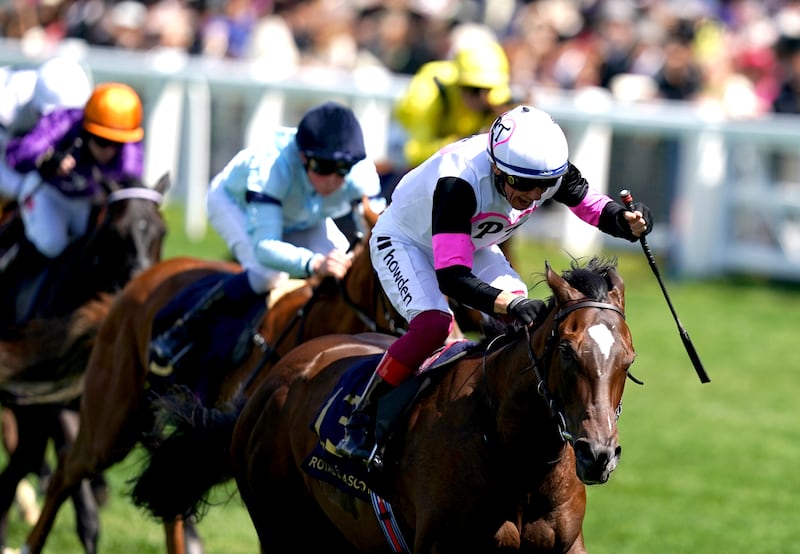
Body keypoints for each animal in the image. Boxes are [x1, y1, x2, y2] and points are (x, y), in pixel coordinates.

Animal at [138, 256, 636, 548]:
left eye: (628, 359)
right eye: (567, 351)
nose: (598, 455)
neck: (514, 455)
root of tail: (271, 383)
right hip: (282, 528)